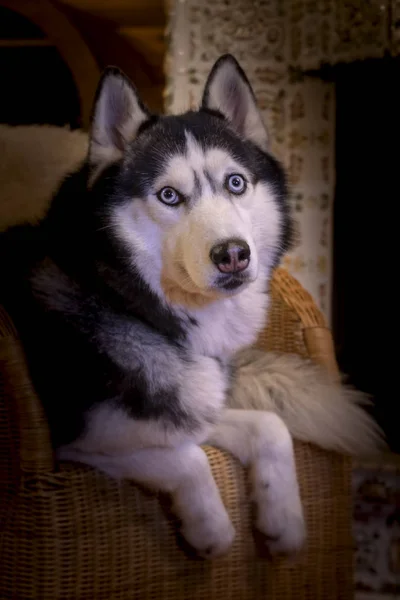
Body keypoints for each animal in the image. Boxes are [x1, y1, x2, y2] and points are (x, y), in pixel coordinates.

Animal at [0, 55, 382, 556]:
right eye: (169, 195)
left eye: (235, 183)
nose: (233, 254)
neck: (131, 302)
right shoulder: (74, 445)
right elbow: (188, 458)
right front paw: (211, 530)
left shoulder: (189, 406)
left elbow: (269, 426)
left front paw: (283, 522)